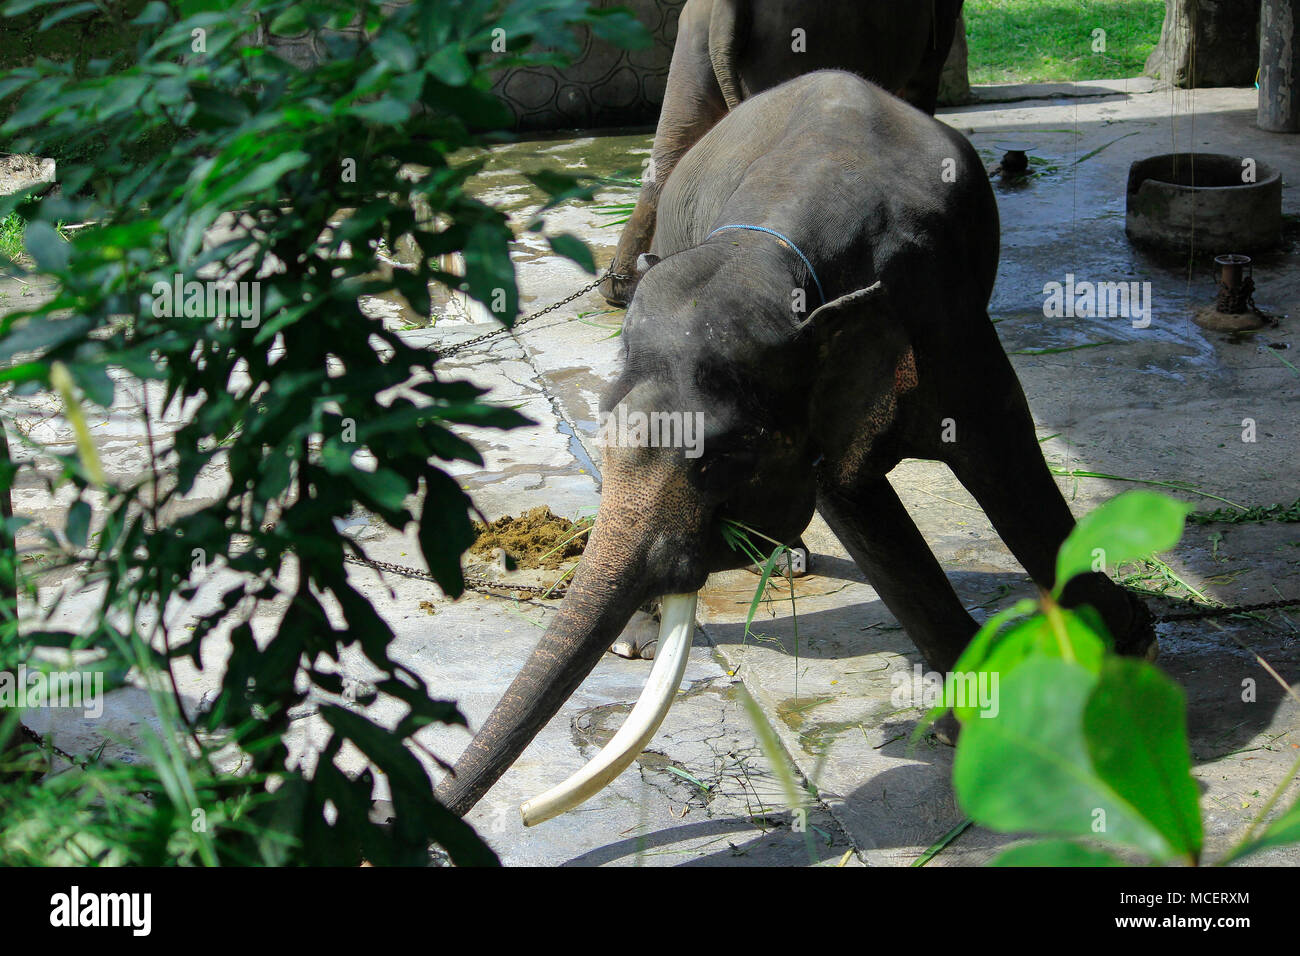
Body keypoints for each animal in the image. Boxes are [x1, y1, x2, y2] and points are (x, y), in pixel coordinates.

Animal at [439, 70, 1159, 827]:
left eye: (720, 460)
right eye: (602, 433)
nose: (512, 816)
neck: (771, 256)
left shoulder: (944, 319)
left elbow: (1002, 454)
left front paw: (1124, 643)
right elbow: (857, 501)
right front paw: (974, 720)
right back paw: (660, 629)